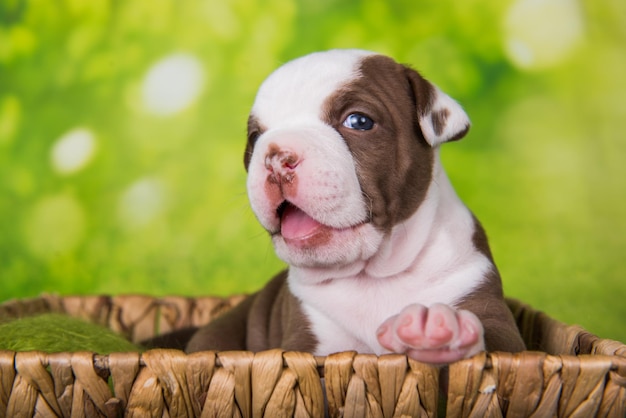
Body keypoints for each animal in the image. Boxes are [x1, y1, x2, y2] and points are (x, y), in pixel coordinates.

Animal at [188, 48, 524, 362]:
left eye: (359, 121)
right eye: (255, 137)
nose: (275, 157)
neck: (373, 276)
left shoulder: (485, 302)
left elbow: (494, 344)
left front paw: (438, 333)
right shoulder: (306, 337)